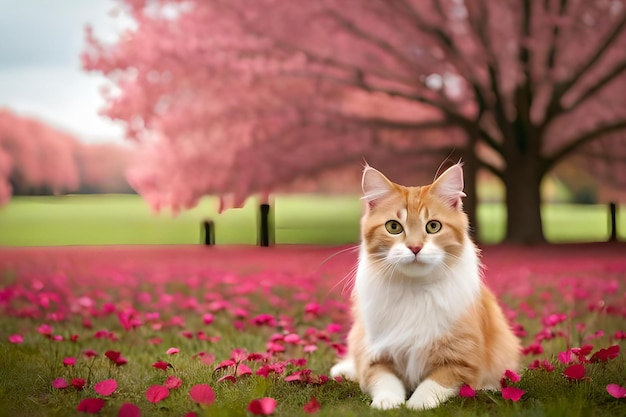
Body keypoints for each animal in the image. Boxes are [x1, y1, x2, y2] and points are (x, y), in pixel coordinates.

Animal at [330, 162, 520, 410]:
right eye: (393, 227)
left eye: (433, 226)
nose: (415, 247)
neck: (415, 289)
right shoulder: (376, 354)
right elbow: (384, 380)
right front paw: (387, 403)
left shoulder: (461, 360)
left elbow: (433, 385)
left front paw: (416, 404)